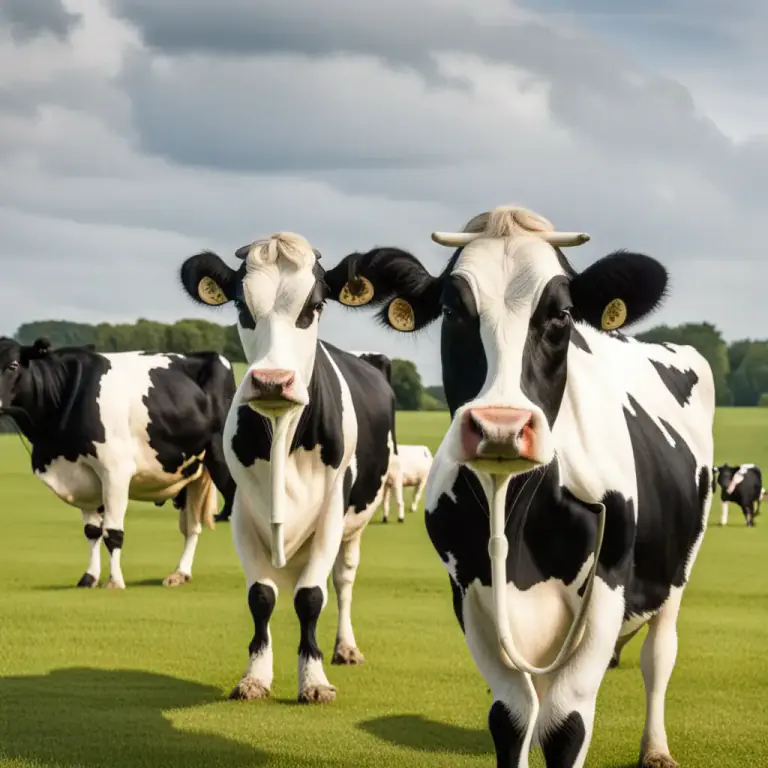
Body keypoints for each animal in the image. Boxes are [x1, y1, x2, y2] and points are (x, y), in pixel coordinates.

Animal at [0, 337, 236, 588]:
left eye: (13, 365)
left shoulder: (115, 471)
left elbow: (113, 532)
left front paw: (114, 581)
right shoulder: (83, 479)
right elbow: (92, 530)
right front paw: (90, 577)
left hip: (223, 463)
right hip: (191, 472)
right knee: (191, 526)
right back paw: (180, 573)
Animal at [178, 231, 397, 704]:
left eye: (313, 306)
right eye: (242, 307)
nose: (272, 381)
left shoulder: (332, 512)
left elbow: (310, 597)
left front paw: (313, 679)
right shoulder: (242, 510)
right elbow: (261, 596)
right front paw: (255, 676)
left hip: (355, 525)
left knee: (343, 582)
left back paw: (345, 647)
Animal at [321, 205, 715, 768]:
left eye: (562, 314)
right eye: (452, 309)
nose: (501, 426)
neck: (519, 516)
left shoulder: (606, 590)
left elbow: (565, 723)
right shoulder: (470, 592)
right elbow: (512, 717)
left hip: (677, 571)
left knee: (659, 657)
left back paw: (656, 749)